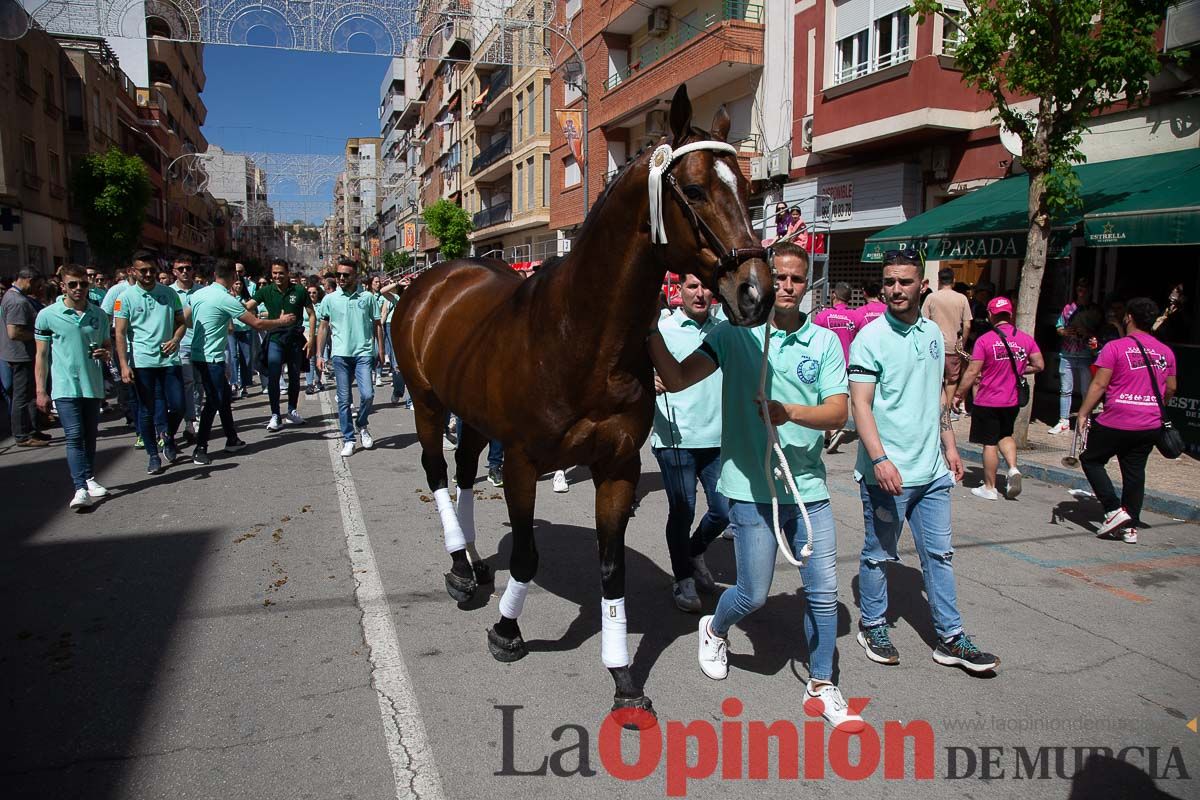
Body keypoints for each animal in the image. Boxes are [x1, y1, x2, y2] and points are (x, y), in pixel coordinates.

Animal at [388, 86, 772, 719]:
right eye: (693, 190)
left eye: (747, 188)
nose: (757, 292)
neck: (581, 338)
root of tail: (433, 279)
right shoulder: (523, 463)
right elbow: (526, 556)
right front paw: (508, 631)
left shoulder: (616, 468)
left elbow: (612, 571)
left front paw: (621, 676)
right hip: (426, 403)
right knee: (438, 473)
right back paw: (459, 566)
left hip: (472, 415)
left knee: (465, 471)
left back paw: (474, 562)